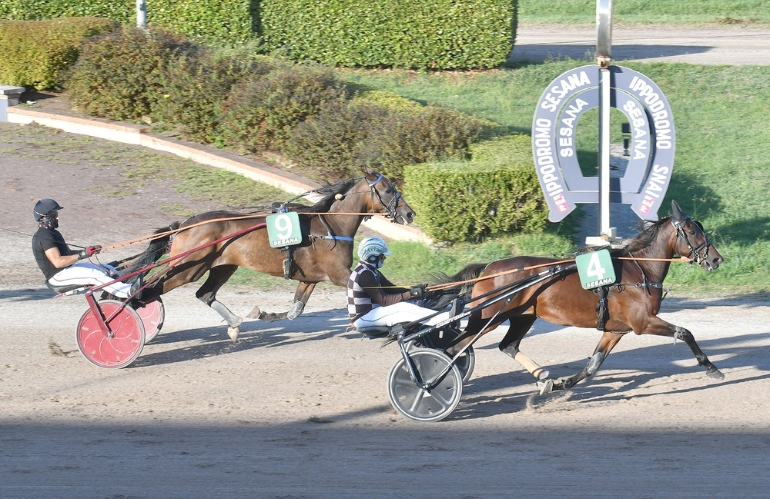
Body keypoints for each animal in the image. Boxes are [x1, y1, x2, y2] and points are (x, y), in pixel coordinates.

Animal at [130, 171, 414, 340]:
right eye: (388, 190)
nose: (409, 213)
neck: (331, 226)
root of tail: (184, 224)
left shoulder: (310, 278)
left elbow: (295, 311)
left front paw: (263, 314)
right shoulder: (340, 275)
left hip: (222, 266)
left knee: (205, 294)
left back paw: (234, 323)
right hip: (188, 268)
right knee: (148, 292)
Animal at [436, 199, 724, 394]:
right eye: (693, 231)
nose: (716, 259)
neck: (640, 269)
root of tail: (489, 268)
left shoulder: (616, 330)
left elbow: (593, 364)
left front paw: (561, 383)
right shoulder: (643, 322)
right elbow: (685, 332)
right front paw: (712, 368)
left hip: (522, 316)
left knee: (507, 345)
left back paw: (543, 377)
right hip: (488, 317)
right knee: (454, 348)